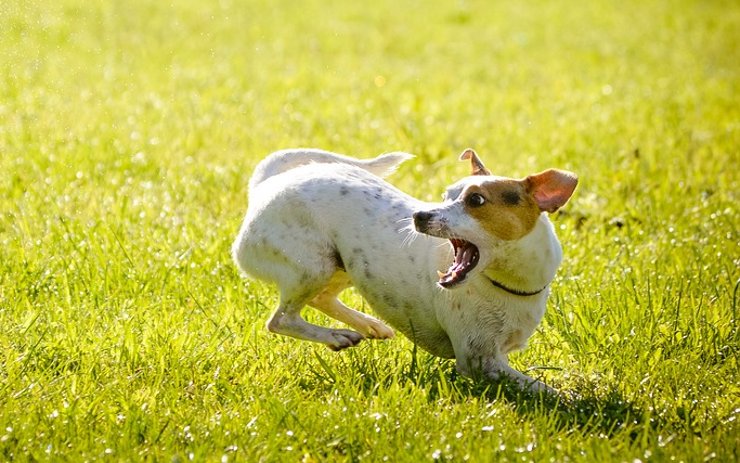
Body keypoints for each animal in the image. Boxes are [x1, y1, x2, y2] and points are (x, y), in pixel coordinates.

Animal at [231, 150, 580, 396]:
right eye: (446, 195)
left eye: (476, 200)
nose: (420, 215)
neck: (506, 283)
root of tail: (266, 185)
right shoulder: (479, 361)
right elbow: (541, 388)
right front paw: (570, 398)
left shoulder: (497, 355)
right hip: (313, 265)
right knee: (281, 320)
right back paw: (335, 335)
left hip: (343, 264)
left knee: (321, 299)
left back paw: (367, 325)